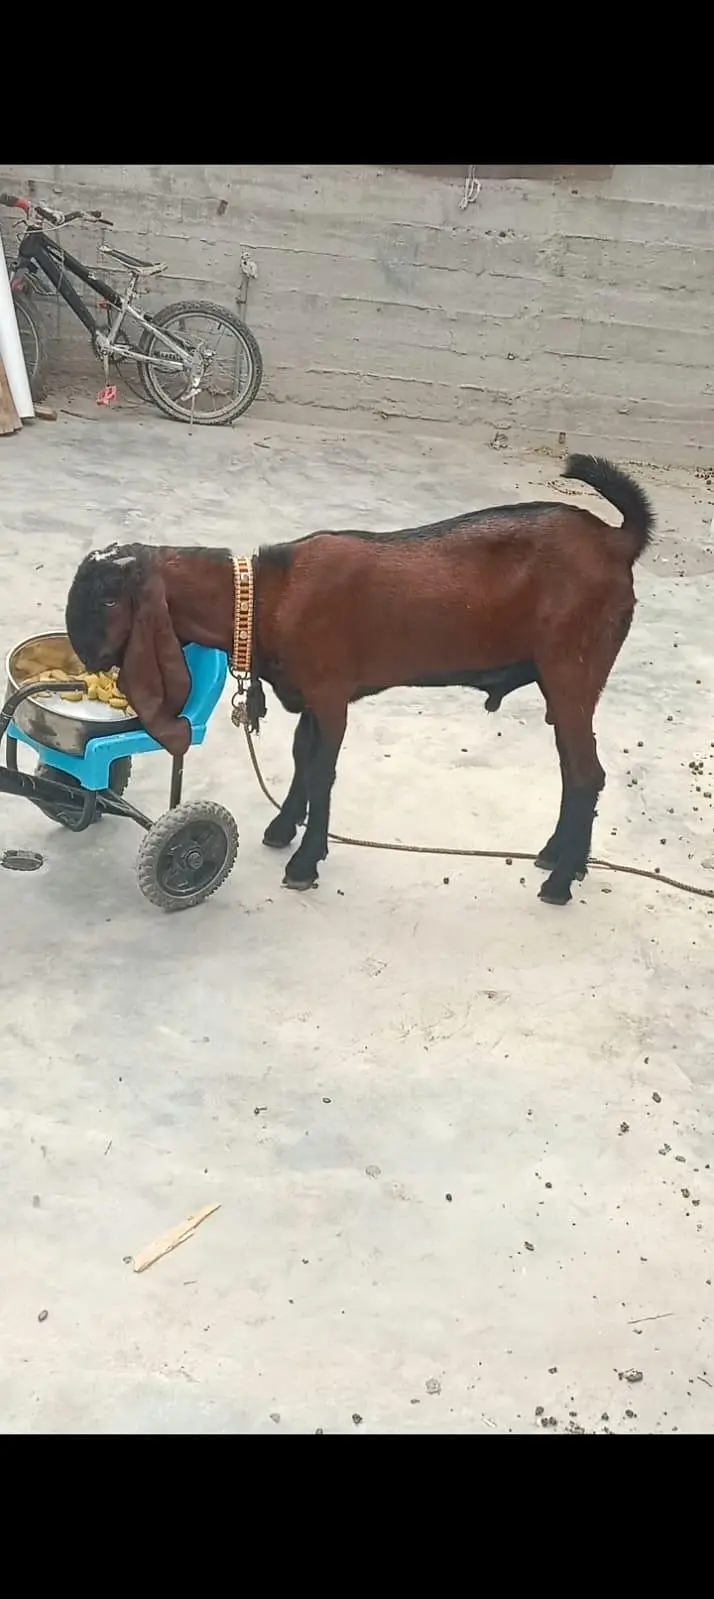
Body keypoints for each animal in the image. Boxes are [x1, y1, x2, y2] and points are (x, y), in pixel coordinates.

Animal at [65, 455, 653, 907]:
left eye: (109, 598)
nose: (83, 651)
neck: (269, 596)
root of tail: (616, 542)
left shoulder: (331, 694)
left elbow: (323, 771)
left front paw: (305, 863)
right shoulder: (309, 696)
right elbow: (302, 758)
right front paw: (282, 831)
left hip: (572, 670)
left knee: (587, 773)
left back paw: (560, 881)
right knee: (574, 770)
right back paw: (558, 858)